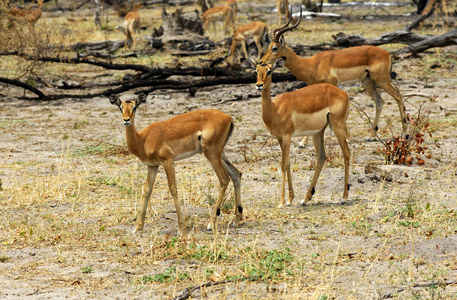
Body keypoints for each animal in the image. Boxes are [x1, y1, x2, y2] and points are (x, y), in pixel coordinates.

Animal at [108, 92, 242, 233]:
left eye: (134, 107)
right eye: (120, 107)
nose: (126, 120)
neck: (143, 140)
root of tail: (228, 117)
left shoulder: (168, 161)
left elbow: (173, 189)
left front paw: (181, 227)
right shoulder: (153, 166)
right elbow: (147, 191)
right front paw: (138, 227)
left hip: (212, 154)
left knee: (224, 179)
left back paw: (211, 224)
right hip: (220, 154)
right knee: (236, 174)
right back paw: (236, 221)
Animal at [244, 58, 350, 209]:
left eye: (269, 71)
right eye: (255, 71)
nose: (259, 85)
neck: (275, 110)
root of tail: (343, 93)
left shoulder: (287, 136)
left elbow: (283, 164)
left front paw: (281, 202)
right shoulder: (280, 139)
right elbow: (287, 164)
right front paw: (290, 199)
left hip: (337, 126)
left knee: (346, 153)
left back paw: (344, 197)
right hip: (318, 132)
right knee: (321, 157)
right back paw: (305, 199)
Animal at [260, 5, 406, 146]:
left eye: (274, 48)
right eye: (269, 46)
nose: (261, 62)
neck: (312, 64)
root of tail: (387, 54)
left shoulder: (332, 84)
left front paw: (346, 139)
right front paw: (303, 142)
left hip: (381, 80)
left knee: (398, 96)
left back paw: (405, 134)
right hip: (368, 81)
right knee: (379, 101)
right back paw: (371, 136)